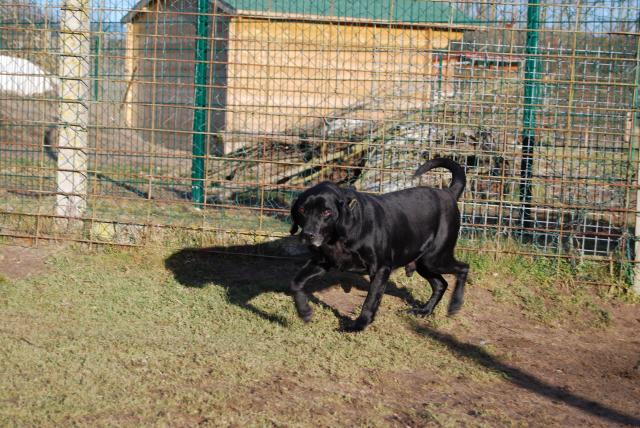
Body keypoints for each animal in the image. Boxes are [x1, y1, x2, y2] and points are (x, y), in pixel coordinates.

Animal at [290, 157, 470, 332]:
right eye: (302, 210)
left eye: (326, 212)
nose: (308, 235)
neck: (340, 237)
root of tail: (448, 192)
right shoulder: (321, 262)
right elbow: (296, 282)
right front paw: (304, 312)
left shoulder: (380, 269)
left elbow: (370, 301)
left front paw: (359, 325)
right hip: (424, 263)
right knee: (441, 284)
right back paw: (424, 311)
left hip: (434, 259)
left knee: (463, 268)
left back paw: (455, 305)